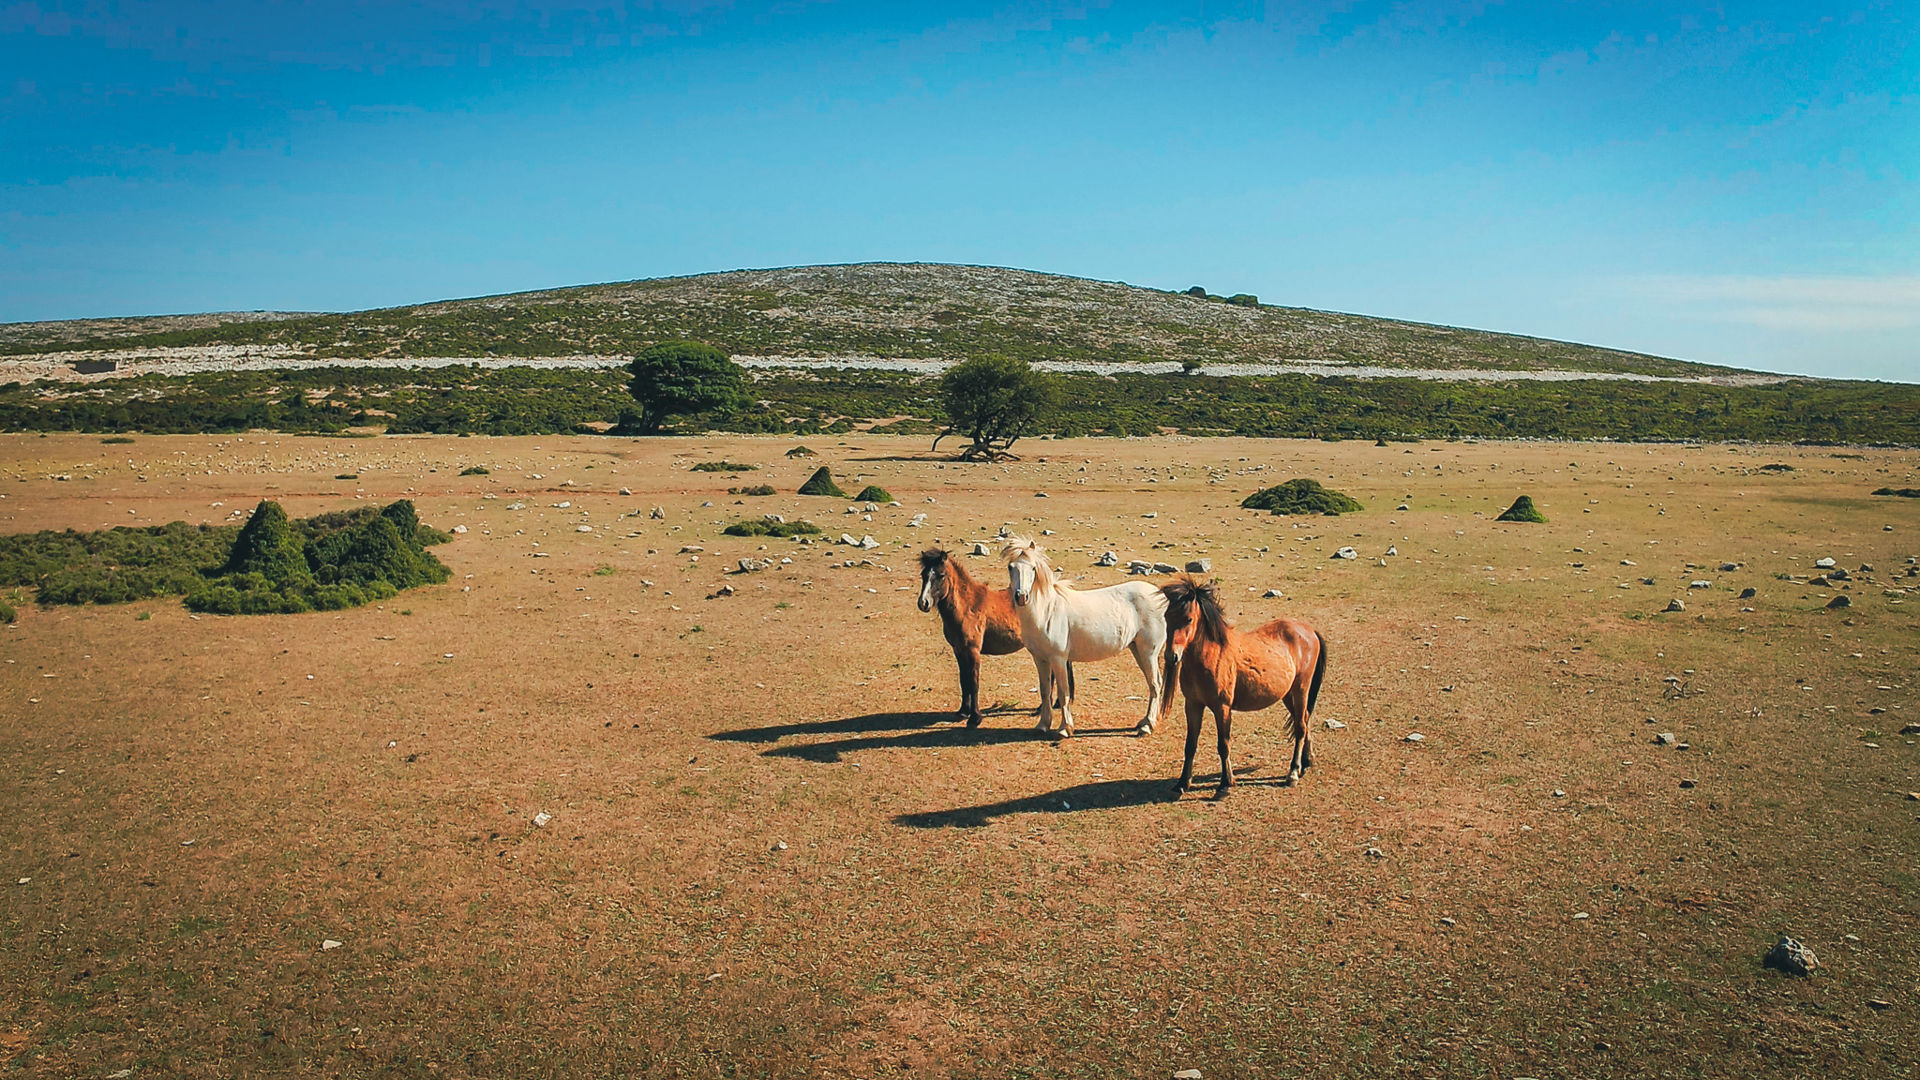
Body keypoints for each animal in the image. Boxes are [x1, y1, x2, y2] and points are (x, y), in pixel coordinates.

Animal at [913, 545, 1067, 722]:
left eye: (941, 575)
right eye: (923, 574)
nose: (923, 603)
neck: (967, 607)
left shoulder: (973, 651)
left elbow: (974, 682)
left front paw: (975, 717)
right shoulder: (959, 650)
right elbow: (963, 681)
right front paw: (963, 711)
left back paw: (1042, 708)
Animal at [1006, 534, 1167, 734]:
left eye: (1033, 568)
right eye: (1010, 567)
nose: (1021, 597)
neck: (1047, 611)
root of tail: (1159, 595)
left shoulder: (1058, 659)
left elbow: (1063, 691)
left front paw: (1065, 728)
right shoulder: (1040, 659)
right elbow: (1045, 691)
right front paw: (1043, 724)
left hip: (1148, 652)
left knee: (1155, 684)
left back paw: (1147, 726)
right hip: (1137, 650)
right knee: (1153, 683)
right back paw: (1145, 721)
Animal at [1159, 576, 1328, 795]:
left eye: (1188, 618)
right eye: (1166, 617)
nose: (1171, 656)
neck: (1212, 655)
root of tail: (1309, 630)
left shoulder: (1222, 708)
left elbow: (1223, 745)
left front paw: (1225, 784)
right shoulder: (1193, 705)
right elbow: (1190, 744)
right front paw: (1182, 783)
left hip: (1301, 689)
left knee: (1300, 727)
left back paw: (1293, 773)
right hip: (1288, 694)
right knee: (1305, 721)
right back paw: (1307, 761)